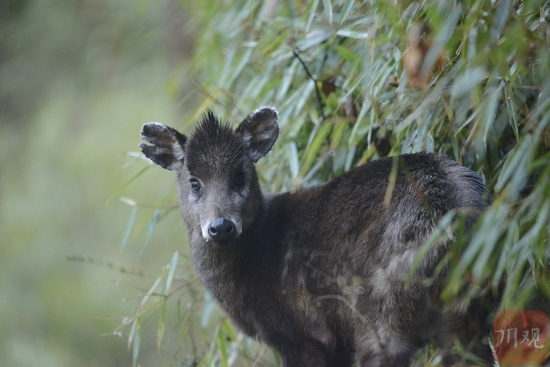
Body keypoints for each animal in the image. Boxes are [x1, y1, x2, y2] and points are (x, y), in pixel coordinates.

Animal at [139, 107, 496, 367]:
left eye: (239, 176)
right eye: (194, 182)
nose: (221, 226)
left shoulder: (305, 334)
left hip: (380, 308)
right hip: (467, 317)